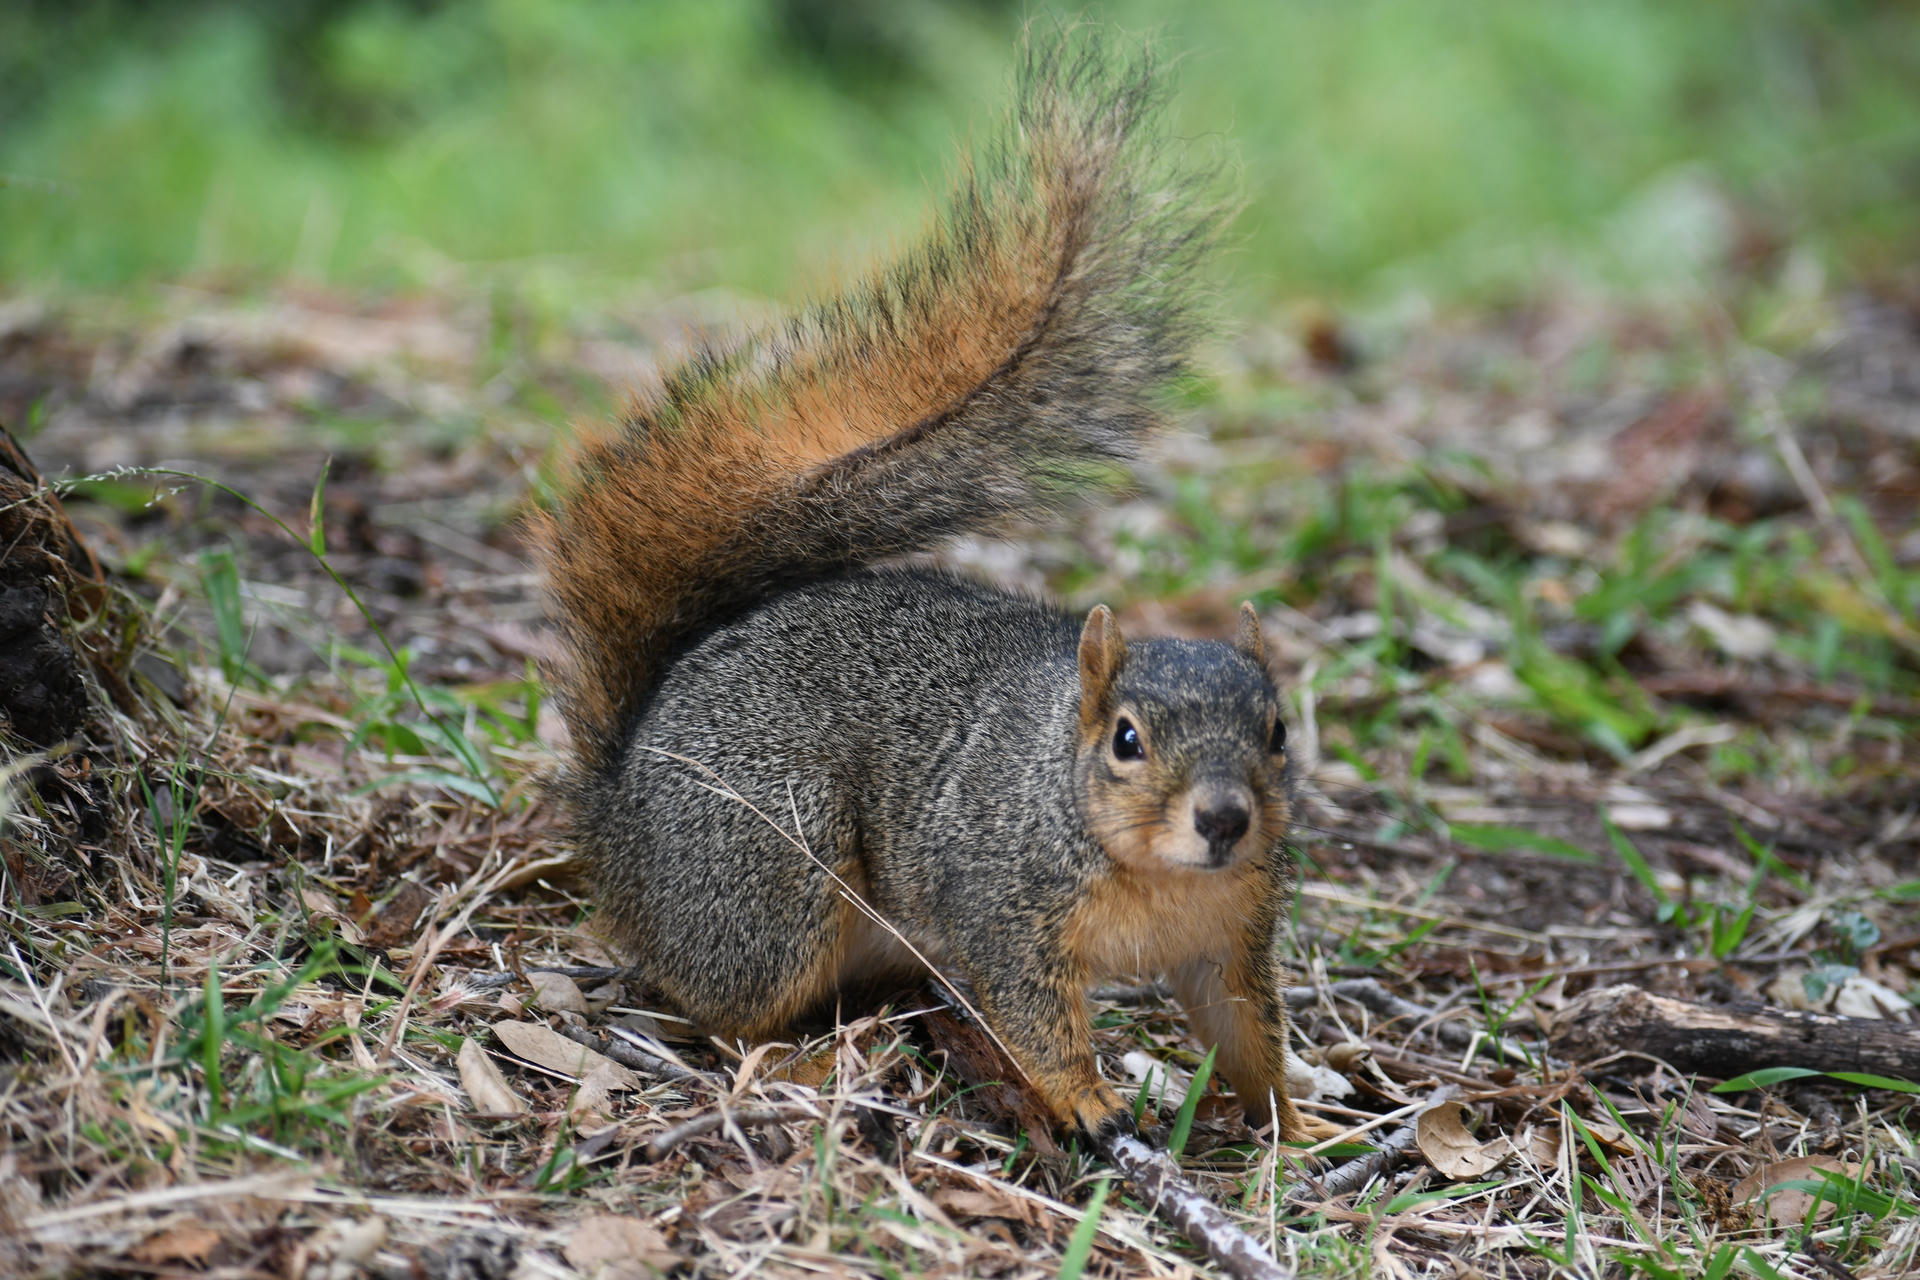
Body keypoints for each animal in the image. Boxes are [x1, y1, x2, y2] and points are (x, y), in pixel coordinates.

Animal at [529, 33, 1310, 1145]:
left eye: (1280, 731)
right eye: (1126, 740)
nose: (1226, 820)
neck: (1151, 872)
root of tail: (618, 828)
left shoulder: (1231, 937)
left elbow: (1247, 1028)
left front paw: (1299, 1120)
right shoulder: (1002, 909)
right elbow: (1033, 1012)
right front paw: (1084, 1096)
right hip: (772, 870)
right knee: (715, 1008)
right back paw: (801, 1061)